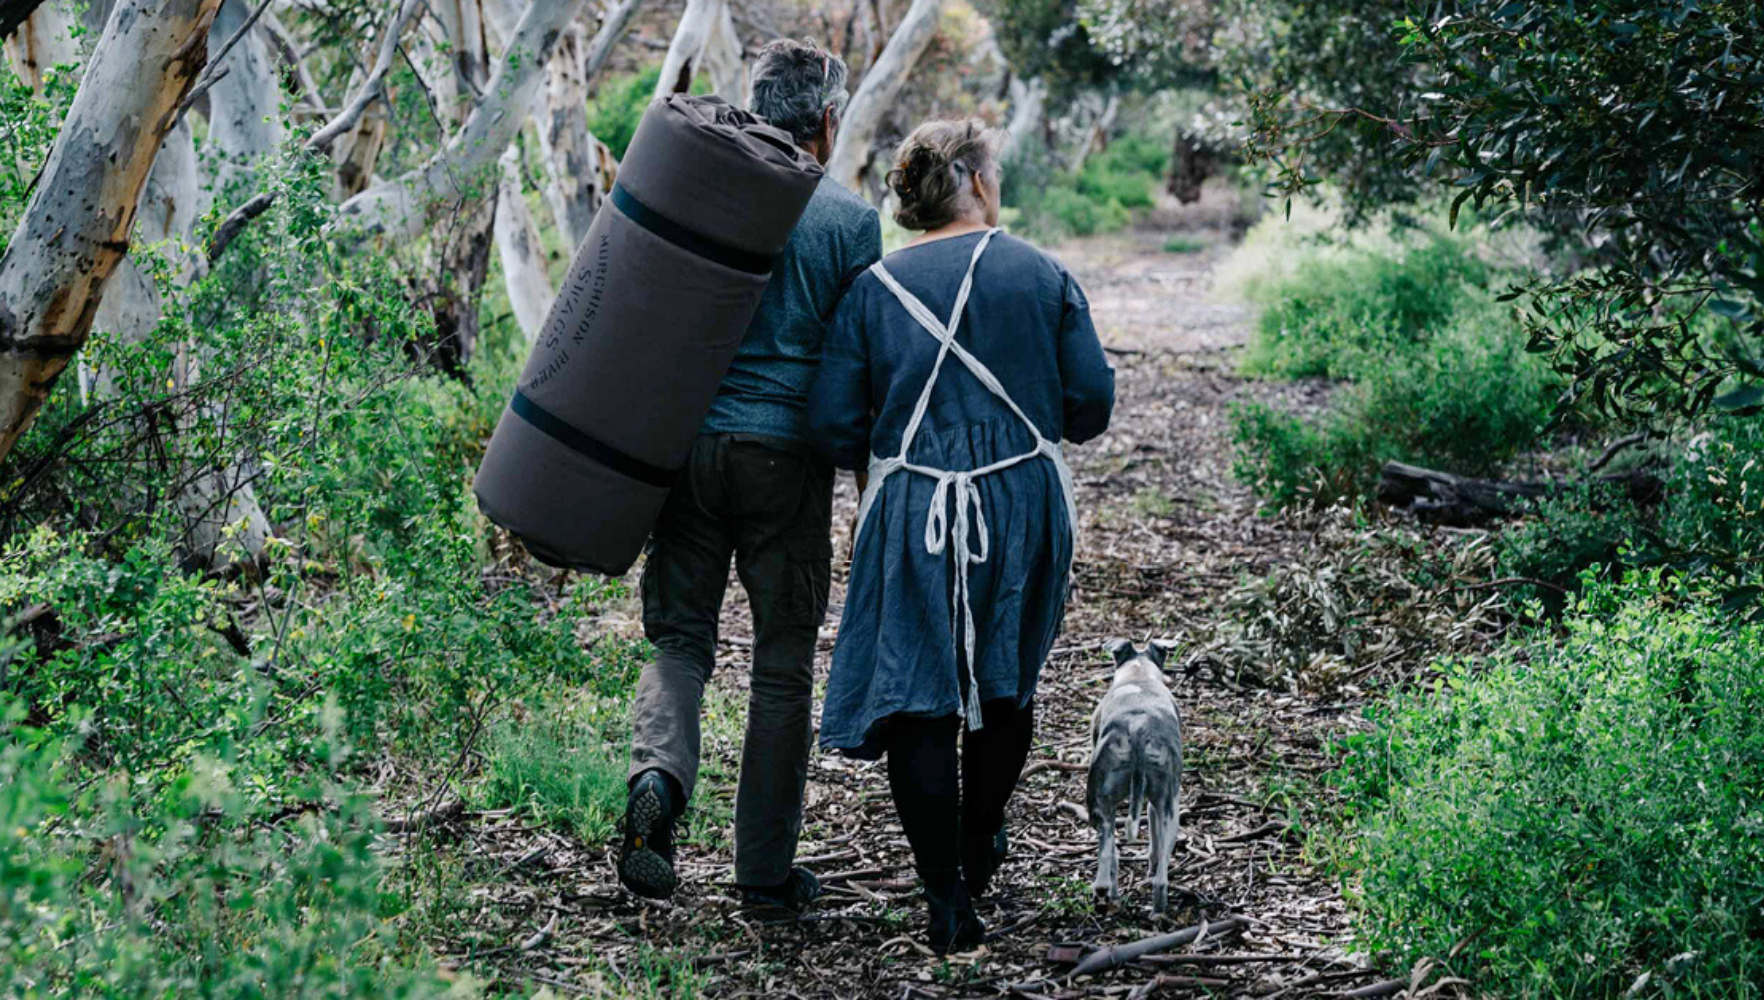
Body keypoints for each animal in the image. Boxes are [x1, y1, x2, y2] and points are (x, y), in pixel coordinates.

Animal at [1086, 638, 1185, 910]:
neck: (1139, 675)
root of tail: (1138, 730)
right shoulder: (1156, 803)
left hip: (1100, 806)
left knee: (1109, 853)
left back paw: (1106, 892)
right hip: (1170, 808)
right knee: (1161, 873)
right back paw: (1158, 908)